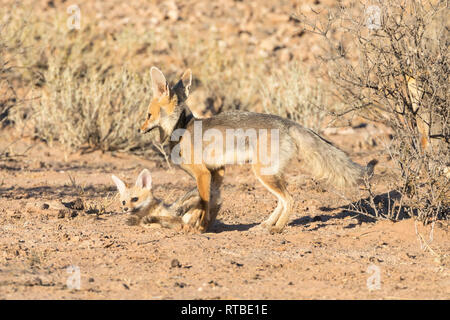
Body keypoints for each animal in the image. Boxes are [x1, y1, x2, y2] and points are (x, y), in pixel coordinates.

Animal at [138, 67, 376, 232]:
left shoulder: (203, 173)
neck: (181, 128)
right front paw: (201, 224)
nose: (139, 129)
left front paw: (199, 228)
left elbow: (205, 203)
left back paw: (277, 228)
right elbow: (211, 202)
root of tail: (288, 122)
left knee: (289, 199)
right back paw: (267, 224)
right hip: (268, 174)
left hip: (262, 173)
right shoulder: (218, 171)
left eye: (148, 115)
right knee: (282, 200)